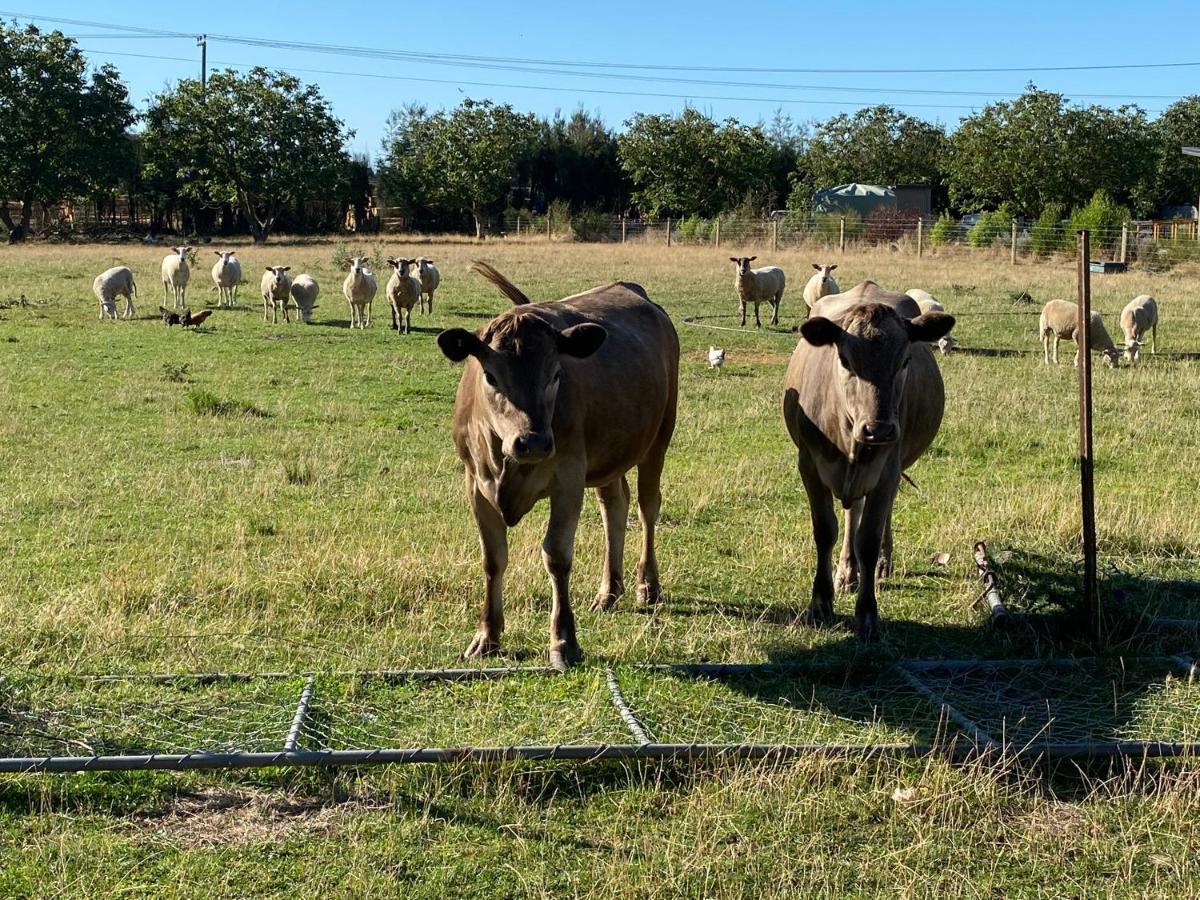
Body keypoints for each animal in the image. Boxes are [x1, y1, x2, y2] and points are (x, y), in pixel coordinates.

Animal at [436, 260, 681, 672]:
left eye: (556, 374)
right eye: (490, 375)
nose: (533, 441)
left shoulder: (568, 477)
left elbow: (556, 555)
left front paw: (564, 641)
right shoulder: (476, 484)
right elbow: (492, 559)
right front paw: (487, 637)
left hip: (659, 436)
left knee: (648, 506)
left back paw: (647, 585)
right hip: (608, 454)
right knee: (614, 506)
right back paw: (609, 590)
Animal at [777, 282, 955, 643]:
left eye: (905, 360)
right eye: (845, 360)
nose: (879, 429)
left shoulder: (887, 470)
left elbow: (868, 539)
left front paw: (867, 614)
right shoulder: (809, 465)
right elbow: (825, 530)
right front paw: (820, 603)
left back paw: (881, 565)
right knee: (851, 512)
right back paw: (847, 572)